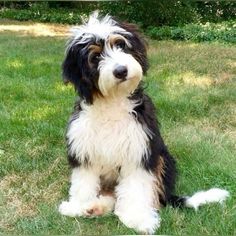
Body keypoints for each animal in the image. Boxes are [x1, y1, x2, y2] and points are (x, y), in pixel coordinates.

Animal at [58, 13, 230, 234]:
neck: (113, 102)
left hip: (163, 159)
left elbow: (136, 187)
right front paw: (79, 205)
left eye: (120, 45)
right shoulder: (84, 148)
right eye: (95, 57)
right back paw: (95, 206)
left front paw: (137, 217)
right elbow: (83, 182)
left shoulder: (139, 151)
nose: (121, 71)